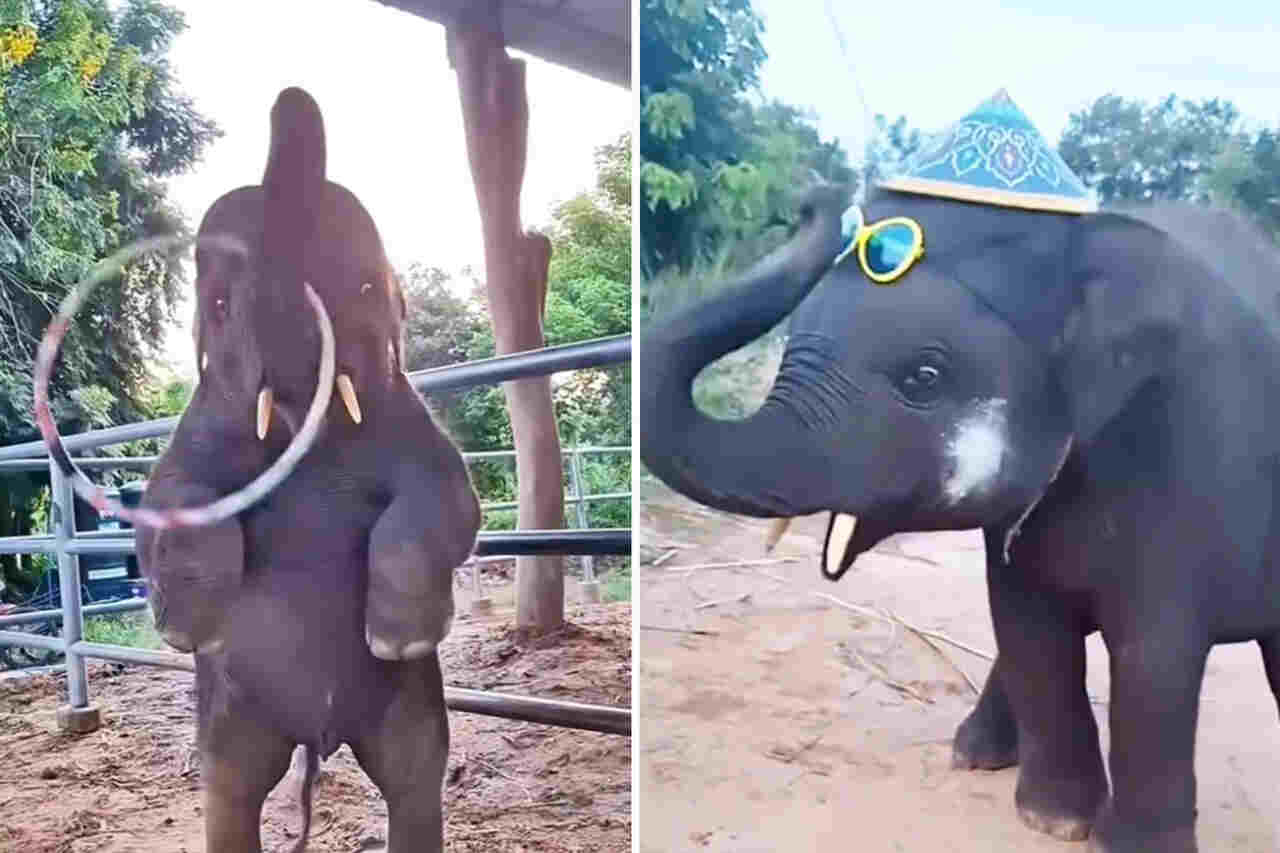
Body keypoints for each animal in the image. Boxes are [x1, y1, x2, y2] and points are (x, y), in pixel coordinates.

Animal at [136, 87, 481, 853]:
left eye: (366, 285)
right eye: (218, 305)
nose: (290, 98)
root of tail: (316, 740)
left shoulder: (410, 419)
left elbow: (450, 499)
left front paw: (400, 635)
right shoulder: (200, 421)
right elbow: (163, 498)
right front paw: (187, 632)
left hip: (407, 705)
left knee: (413, 777)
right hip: (235, 715)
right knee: (231, 788)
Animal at [640, 183, 1280, 852]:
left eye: (924, 377)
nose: (816, 198)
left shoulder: (1197, 460)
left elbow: (1153, 654)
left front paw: (1112, 840)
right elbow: (1026, 624)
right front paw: (1053, 820)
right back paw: (974, 755)